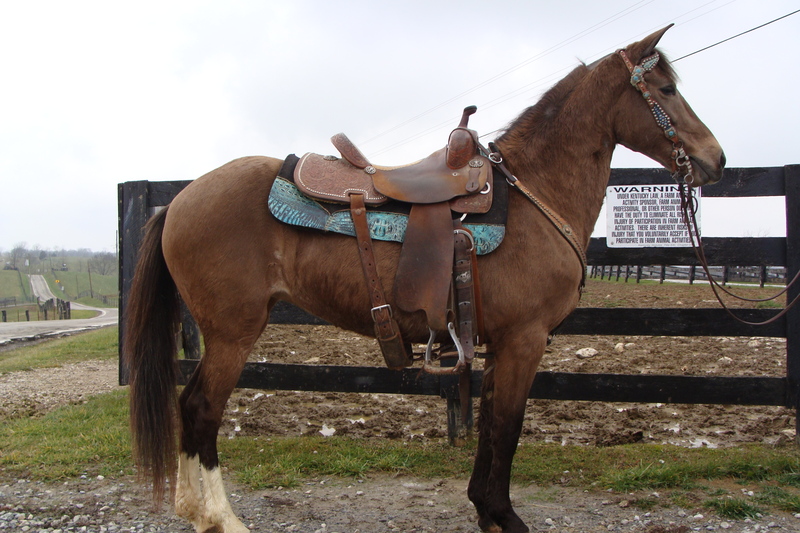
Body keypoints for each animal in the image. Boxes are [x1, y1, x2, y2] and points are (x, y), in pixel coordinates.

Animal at [123, 25, 725, 533]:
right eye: (666, 89)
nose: (714, 159)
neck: (533, 194)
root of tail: (179, 200)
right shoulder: (525, 340)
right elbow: (508, 428)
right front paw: (505, 516)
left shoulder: (499, 343)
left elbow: (492, 425)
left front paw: (485, 510)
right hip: (233, 332)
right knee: (201, 410)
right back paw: (220, 518)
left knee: (190, 408)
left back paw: (193, 509)